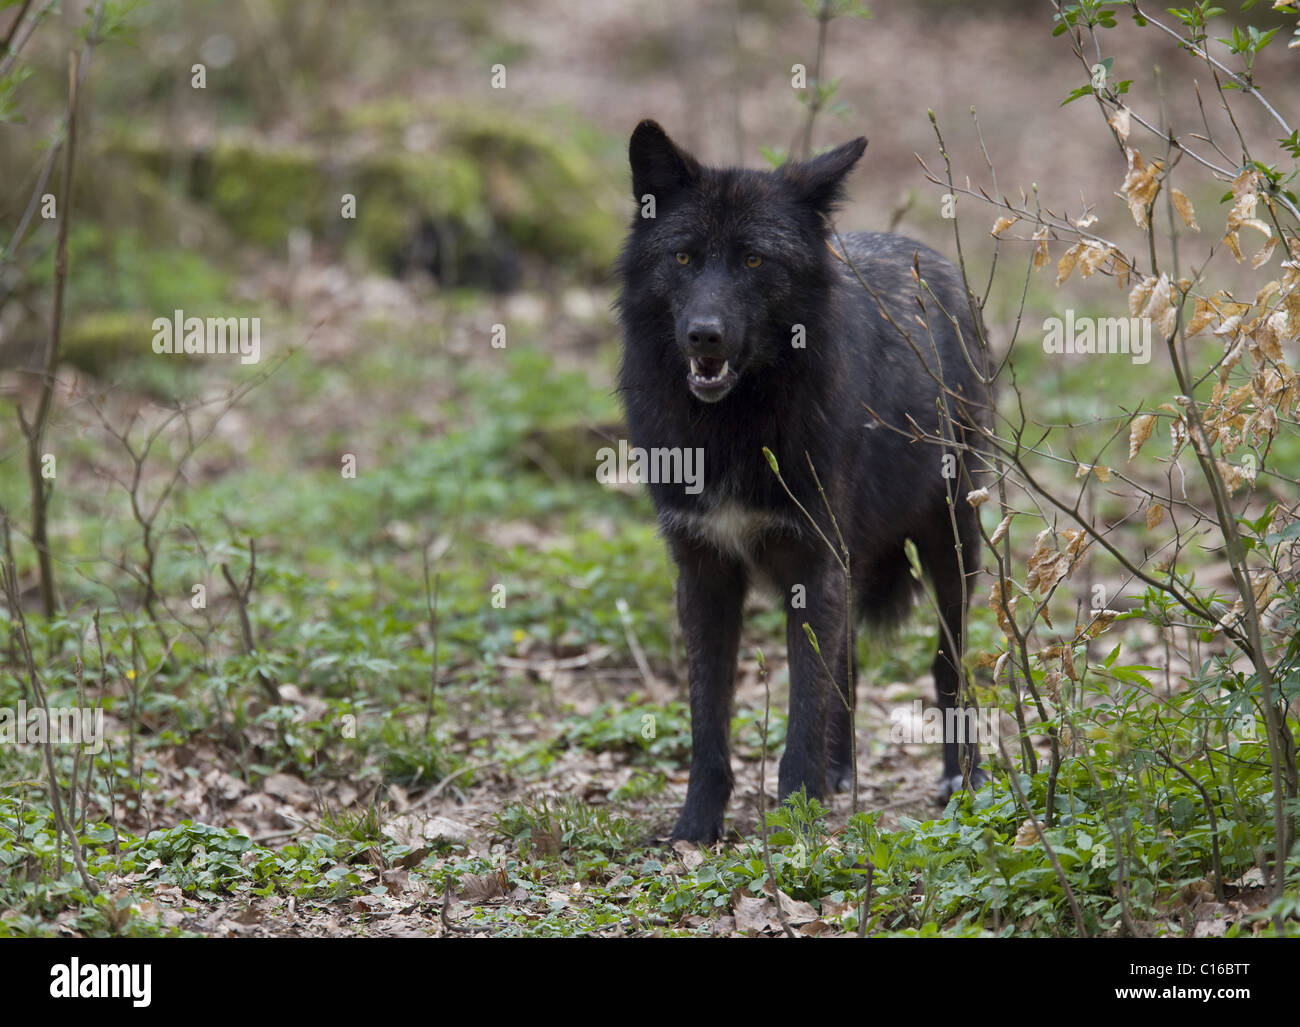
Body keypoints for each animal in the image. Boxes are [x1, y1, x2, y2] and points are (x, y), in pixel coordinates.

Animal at [613, 120, 987, 842]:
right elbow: (709, 721)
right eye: (683, 257)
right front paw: (696, 826)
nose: (704, 336)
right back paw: (843, 773)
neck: (733, 426)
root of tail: (929, 255)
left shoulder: (812, 562)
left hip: (951, 541)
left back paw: (966, 779)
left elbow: (802, 708)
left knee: (949, 662)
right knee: (850, 661)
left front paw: (796, 822)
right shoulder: (703, 571)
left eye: (756, 261)